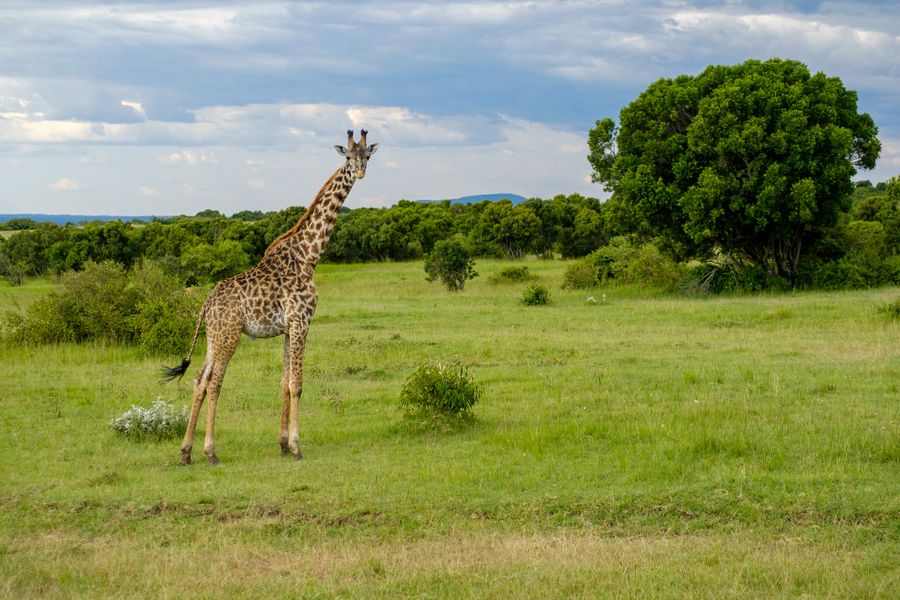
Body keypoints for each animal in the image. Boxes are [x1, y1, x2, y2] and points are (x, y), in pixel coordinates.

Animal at [162, 130, 379, 465]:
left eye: (366, 155)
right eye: (347, 157)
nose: (360, 171)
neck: (308, 256)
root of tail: (205, 304)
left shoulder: (288, 329)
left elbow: (284, 384)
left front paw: (282, 444)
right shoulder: (302, 322)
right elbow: (298, 384)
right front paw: (297, 447)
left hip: (214, 337)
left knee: (199, 381)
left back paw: (185, 453)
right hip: (228, 336)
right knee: (214, 383)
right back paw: (210, 451)